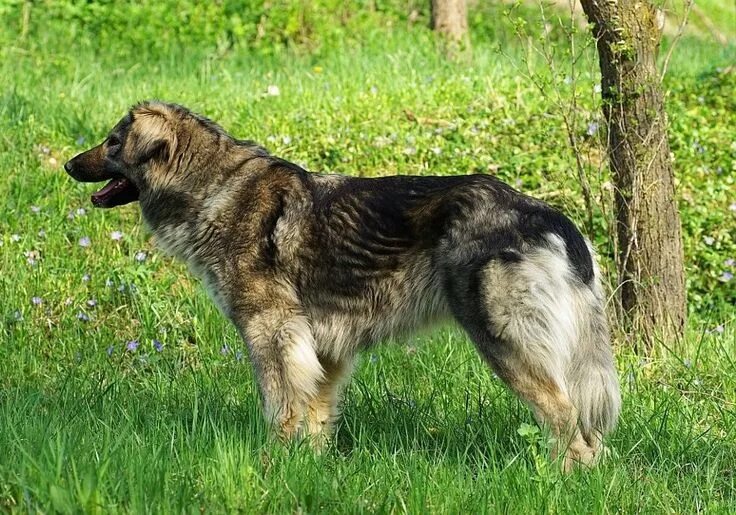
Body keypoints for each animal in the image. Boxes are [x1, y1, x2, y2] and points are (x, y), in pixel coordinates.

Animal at [66, 101, 620, 472]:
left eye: (112, 142)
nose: (70, 164)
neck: (210, 186)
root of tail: (545, 215)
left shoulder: (271, 332)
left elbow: (281, 405)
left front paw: (272, 463)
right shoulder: (323, 347)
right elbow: (314, 412)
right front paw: (308, 468)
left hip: (506, 342)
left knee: (569, 421)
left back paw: (561, 480)